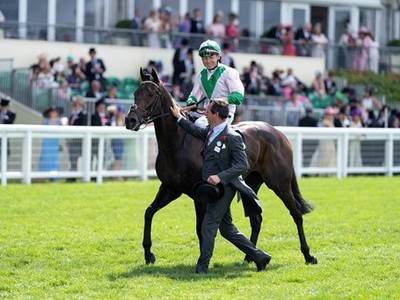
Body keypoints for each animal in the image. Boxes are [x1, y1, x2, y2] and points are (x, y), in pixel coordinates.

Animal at [126, 69, 318, 264]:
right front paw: (148, 254)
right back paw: (250, 256)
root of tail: (278, 133)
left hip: (280, 183)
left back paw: (308, 255)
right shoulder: (170, 188)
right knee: (256, 218)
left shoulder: (200, 193)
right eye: (135, 93)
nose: (130, 120)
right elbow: (149, 212)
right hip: (252, 183)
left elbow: (200, 227)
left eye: (151, 94)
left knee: (296, 214)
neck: (178, 143)